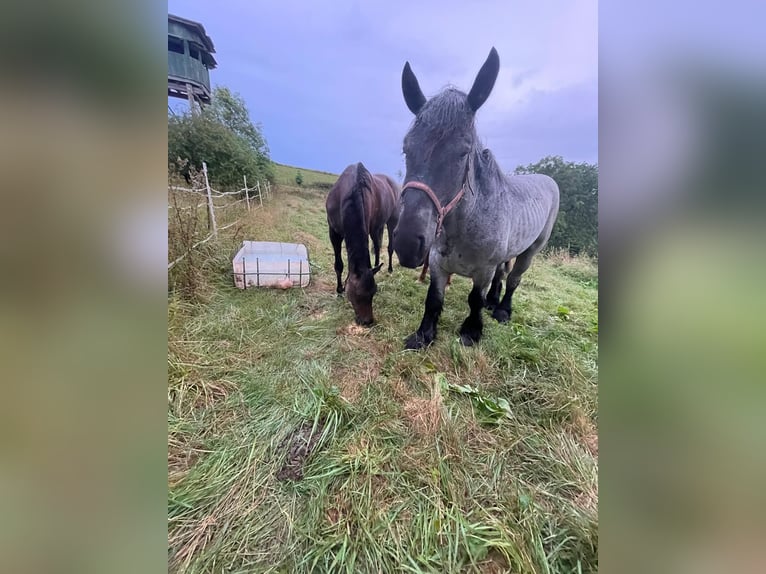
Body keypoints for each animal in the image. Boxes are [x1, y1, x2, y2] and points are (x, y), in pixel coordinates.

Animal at [328, 162, 402, 328]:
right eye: (357, 295)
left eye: (374, 292)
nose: (367, 321)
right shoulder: (334, 233)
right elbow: (339, 265)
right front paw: (339, 290)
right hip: (377, 227)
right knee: (377, 245)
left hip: (391, 222)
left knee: (388, 247)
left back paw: (389, 268)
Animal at [392, 47, 560, 348]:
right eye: (406, 148)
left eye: (463, 152)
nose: (408, 243)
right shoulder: (437, 264)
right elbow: (433, 299)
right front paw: (423, 335)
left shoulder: (483, 269)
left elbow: (474, 300)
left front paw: (471, 332)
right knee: (504, 275)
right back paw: (494, 302)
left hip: (532, 249)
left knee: (514, 278)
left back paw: (502, 310)